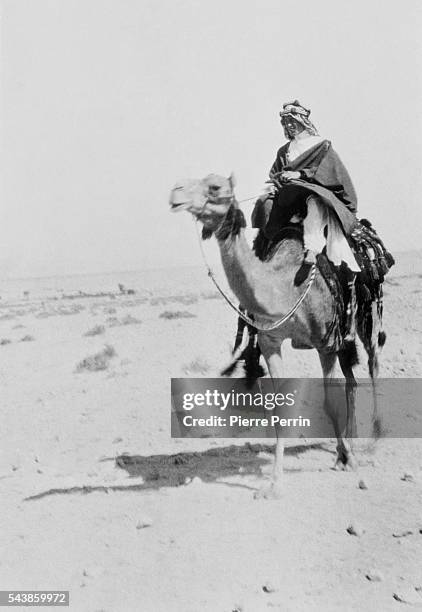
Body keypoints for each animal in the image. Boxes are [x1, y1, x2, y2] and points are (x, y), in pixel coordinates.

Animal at [168, 172, 382, 498]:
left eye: (215, 187)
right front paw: (275, 483)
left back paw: (372, 441)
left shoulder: (325, 344)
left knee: (372, 364)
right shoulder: (271, 342)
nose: (175, 192)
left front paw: (354, 466)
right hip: (343, 338)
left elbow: (329, 403)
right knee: (352, 381)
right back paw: (347, 448)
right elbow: (280, 406)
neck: (286, 285)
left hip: (365, 316)